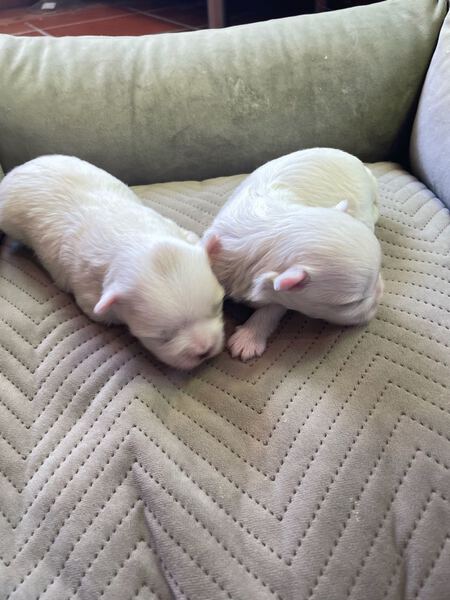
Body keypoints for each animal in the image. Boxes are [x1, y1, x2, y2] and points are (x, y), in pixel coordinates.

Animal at [0, 155, 225, 369]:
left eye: (217, 306)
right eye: (162, 337)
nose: (205, 350)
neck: (134, 241)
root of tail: (21, 167)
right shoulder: (88, 293)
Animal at [203, 148, 384, 361]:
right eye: (353, 303)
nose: (381, 294)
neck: (270, 231)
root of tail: (360, 165)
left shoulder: (281, 292)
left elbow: (273, 308)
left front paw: (248, 338)